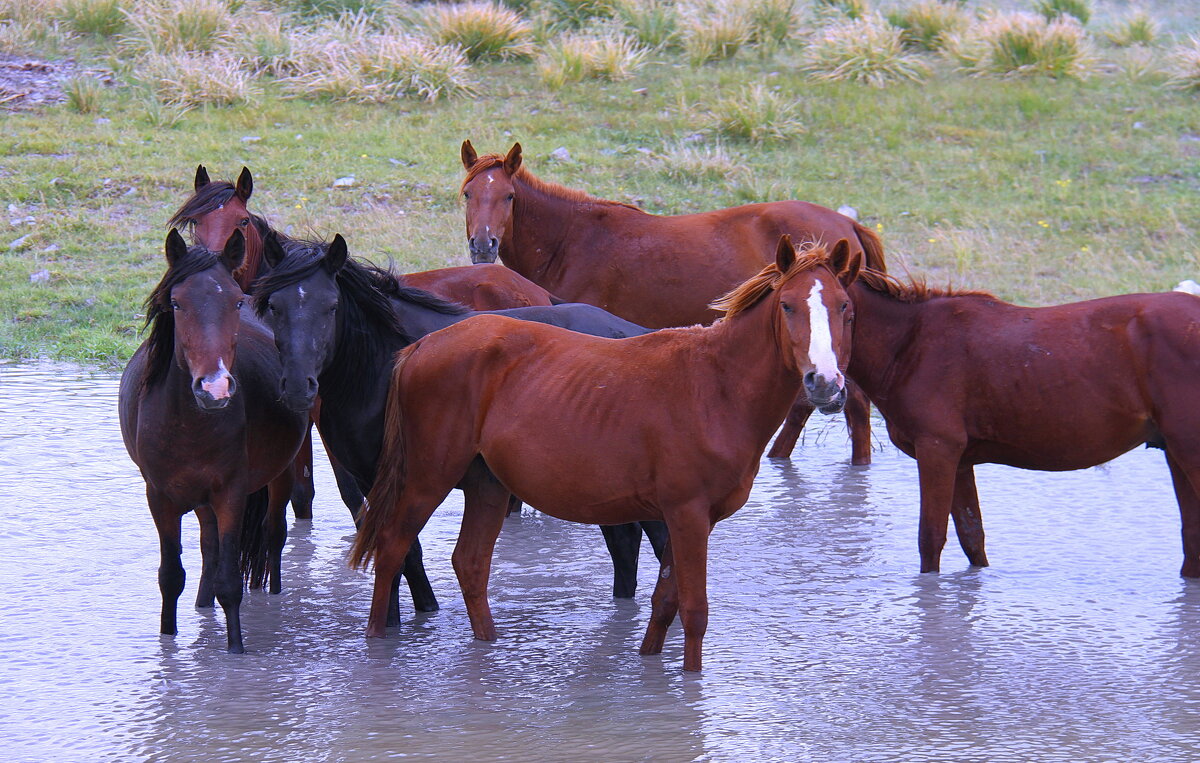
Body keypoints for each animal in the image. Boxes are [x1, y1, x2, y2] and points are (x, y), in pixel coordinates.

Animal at [118, 229, 309, 652]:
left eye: (234, 301)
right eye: (176, 302)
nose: (214, 388)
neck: (189, 423)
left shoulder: (230, 494)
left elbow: (230, 581)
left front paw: (235, 651)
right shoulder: (159, 497)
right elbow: (171, 575)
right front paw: (168, 643)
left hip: (283, 471)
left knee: (274, 534)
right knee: (209, 548)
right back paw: (202, 606)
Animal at [254, 233, 672, 619]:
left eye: (331, 306)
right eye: (274, 306)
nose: (298, 386)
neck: (384, 361)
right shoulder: (373, 479)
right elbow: (405, 554)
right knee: (625, 541)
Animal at [348, 237, 864, 667]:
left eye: (845, 308)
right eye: (788, 305)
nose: (824, 383)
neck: (716, 386)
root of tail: (420, 347)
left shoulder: (691, 518)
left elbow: (664, 604)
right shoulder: (687, 514)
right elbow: (693, 611)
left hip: (486, 484)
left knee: (470, 563)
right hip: (428, 478)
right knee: (391, 548)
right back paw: (377, 645)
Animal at [456, 141, 883, 465]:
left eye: (508, 196)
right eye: (468, 194)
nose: (483, 245)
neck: (572, 240)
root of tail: (848, 225)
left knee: (854, 406)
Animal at [844, 265, 1200, 575]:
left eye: (841, 307)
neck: (908, 344)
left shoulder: (937, 450)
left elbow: (930, 540)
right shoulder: (960, 460)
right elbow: (973, 537)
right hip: (1175, 452)